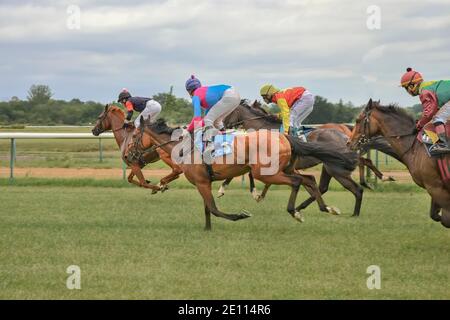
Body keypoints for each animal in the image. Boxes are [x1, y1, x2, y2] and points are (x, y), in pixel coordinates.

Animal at [131, 117, 358, 230]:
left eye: (133, 136)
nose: (129, 154)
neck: (185, 148)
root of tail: (285, 137)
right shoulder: (203, 182)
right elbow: (208, 209)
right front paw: (207, 229)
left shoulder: (202, 183)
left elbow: (214, 209)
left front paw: (240, 215)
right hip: (286, 167)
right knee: (308, 180)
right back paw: (326, 208)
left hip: (265, 173)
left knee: (295, 181)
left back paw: (295, 212)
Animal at [348, 100, 450, 228]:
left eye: (358, 120)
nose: (349, 143)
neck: (415, 146)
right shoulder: (433, 187)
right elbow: (436, 216)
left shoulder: (436, 187)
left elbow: (445, 220)